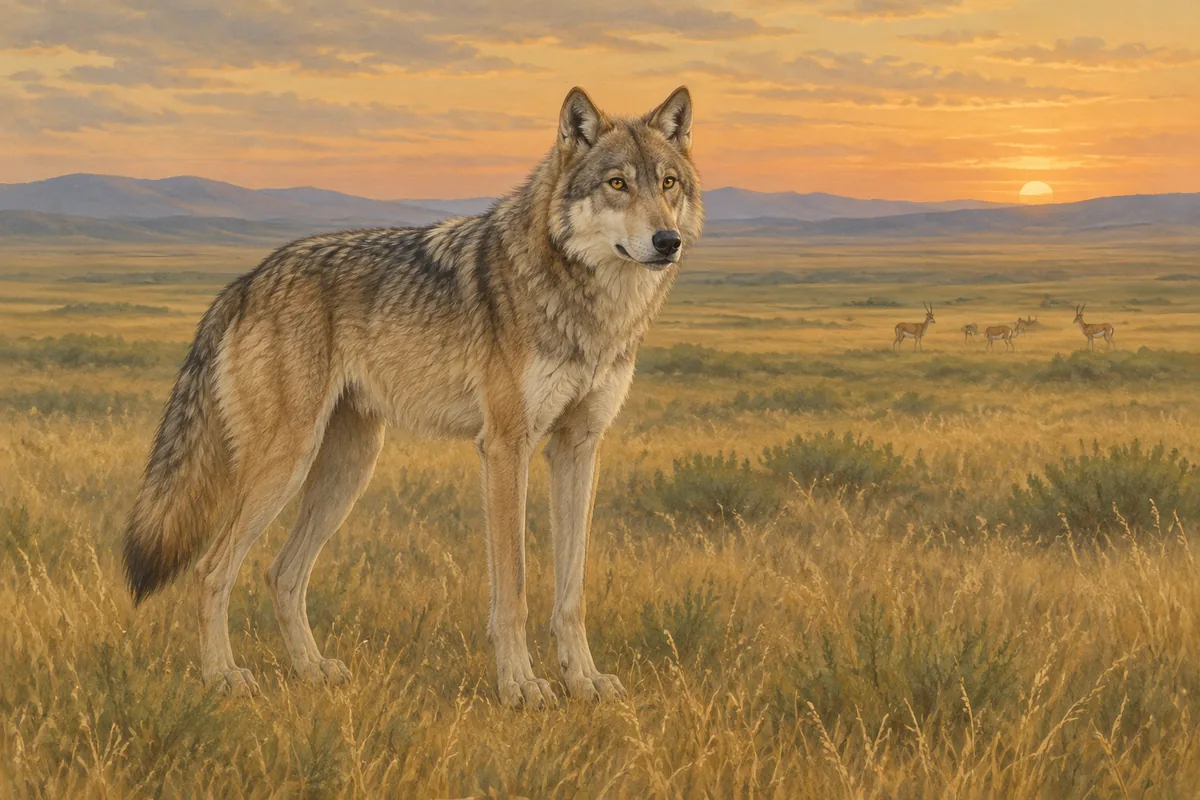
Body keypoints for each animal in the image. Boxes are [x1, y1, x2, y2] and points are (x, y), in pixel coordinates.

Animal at [122, 86, 703, 709]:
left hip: (349, 469)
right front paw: (520, 685)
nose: (667, 242)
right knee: (212, 570)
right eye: (617, 183)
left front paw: (584, 680)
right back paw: (222, 677)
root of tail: (247, 279)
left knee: (282, 573)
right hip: (287, 464)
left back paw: (311, 669)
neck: (590, 305)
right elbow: (514, 589)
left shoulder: (578, 447)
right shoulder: (506, 447)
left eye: (668, 183)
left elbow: (571, 592)